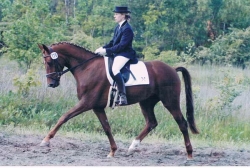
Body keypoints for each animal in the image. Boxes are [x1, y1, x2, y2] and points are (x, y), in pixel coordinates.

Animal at [37, 41, 199, 159]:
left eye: (49, 62)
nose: (51, 84)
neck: (87, 68)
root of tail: (172, 69)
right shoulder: (97, 107)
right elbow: (107, 127)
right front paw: (113, 151)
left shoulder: (87, 102)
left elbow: (64, 117)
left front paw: (45, 140)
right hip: (146, 102)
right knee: (151, 122)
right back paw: (132, 146)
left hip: (170, 102)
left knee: (182, 123)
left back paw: (189, 154)